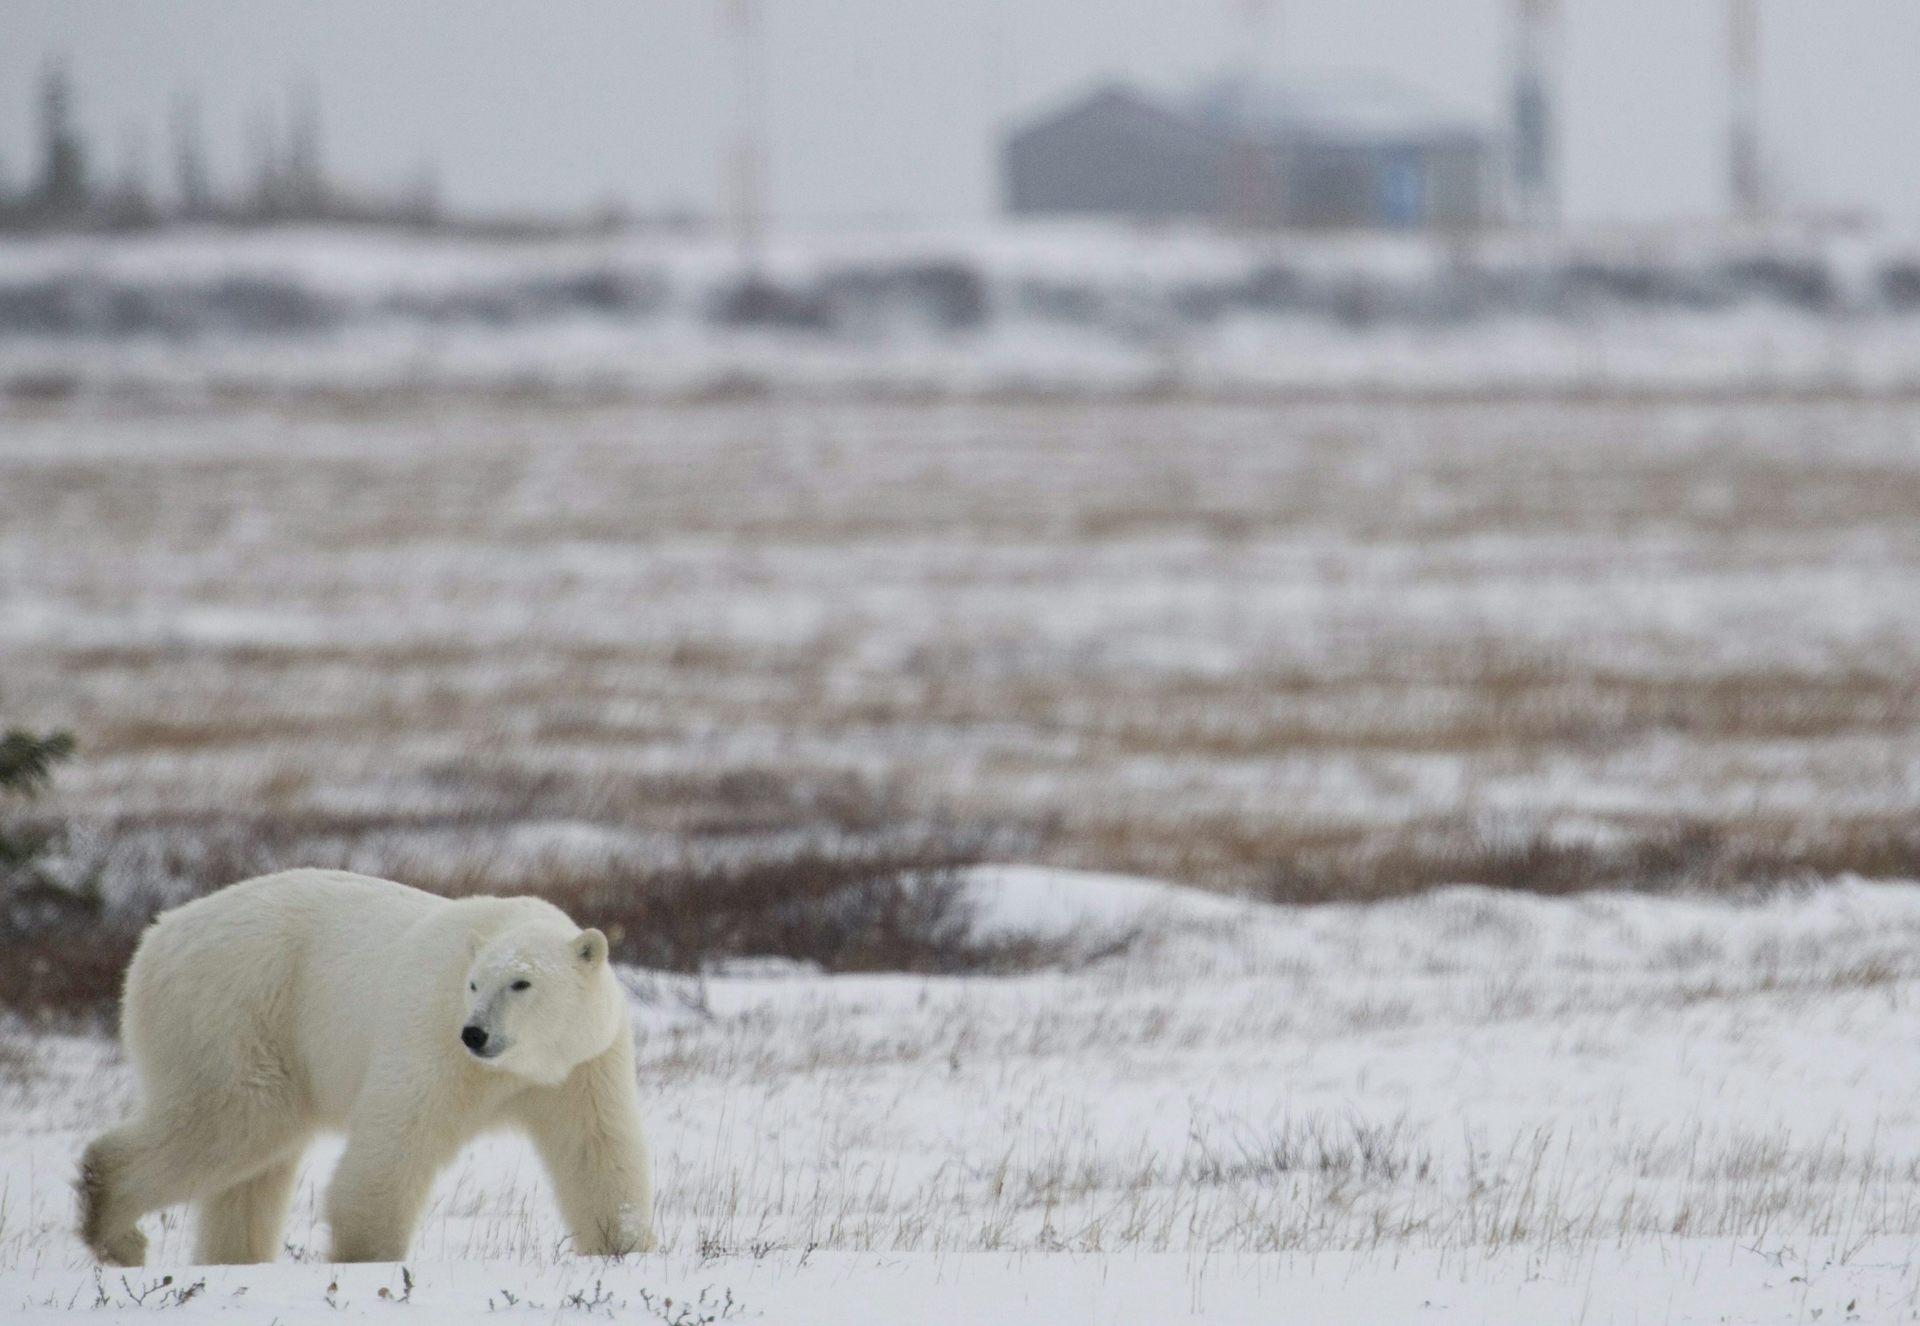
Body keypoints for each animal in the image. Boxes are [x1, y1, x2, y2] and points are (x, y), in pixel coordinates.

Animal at [78, 868, 656, 1266]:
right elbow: (397, 1137)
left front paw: (626, 1247)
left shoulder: (584, 1063)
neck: (520, 1066)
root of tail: (156, 936)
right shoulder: (430, 1035)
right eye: (473, 984)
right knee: (234, 1119)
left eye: (521, 983)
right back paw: (118, 1233)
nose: (475, 1033)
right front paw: (367, 1256)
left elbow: (595, 1149)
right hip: (235, 1011)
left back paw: (233, 1259)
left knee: (254, 1167)